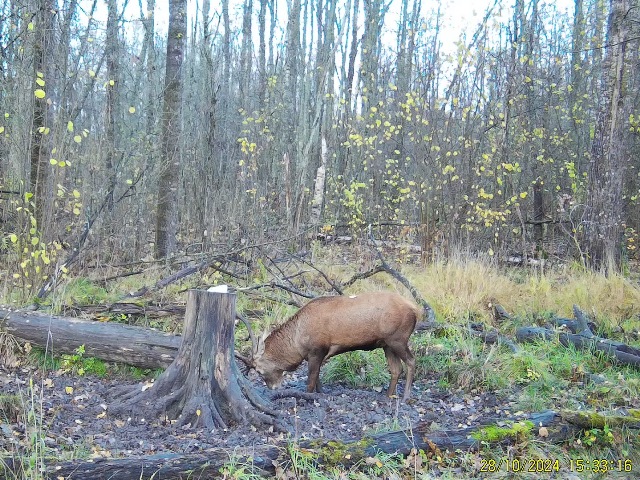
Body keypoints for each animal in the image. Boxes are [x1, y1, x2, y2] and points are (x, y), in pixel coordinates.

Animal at [239, 291, 421, 401]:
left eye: (259, 371)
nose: (273, 388)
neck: (298, 343)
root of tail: (416, 310)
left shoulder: (317, 350)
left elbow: (311, 380)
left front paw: (307, 397)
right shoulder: (316, 354)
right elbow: (318, 377)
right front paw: (321, 393)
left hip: (398, 339)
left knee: (411, 361)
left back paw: (405, 396)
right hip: (387, 344)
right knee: (396, 368)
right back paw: (389, 395)